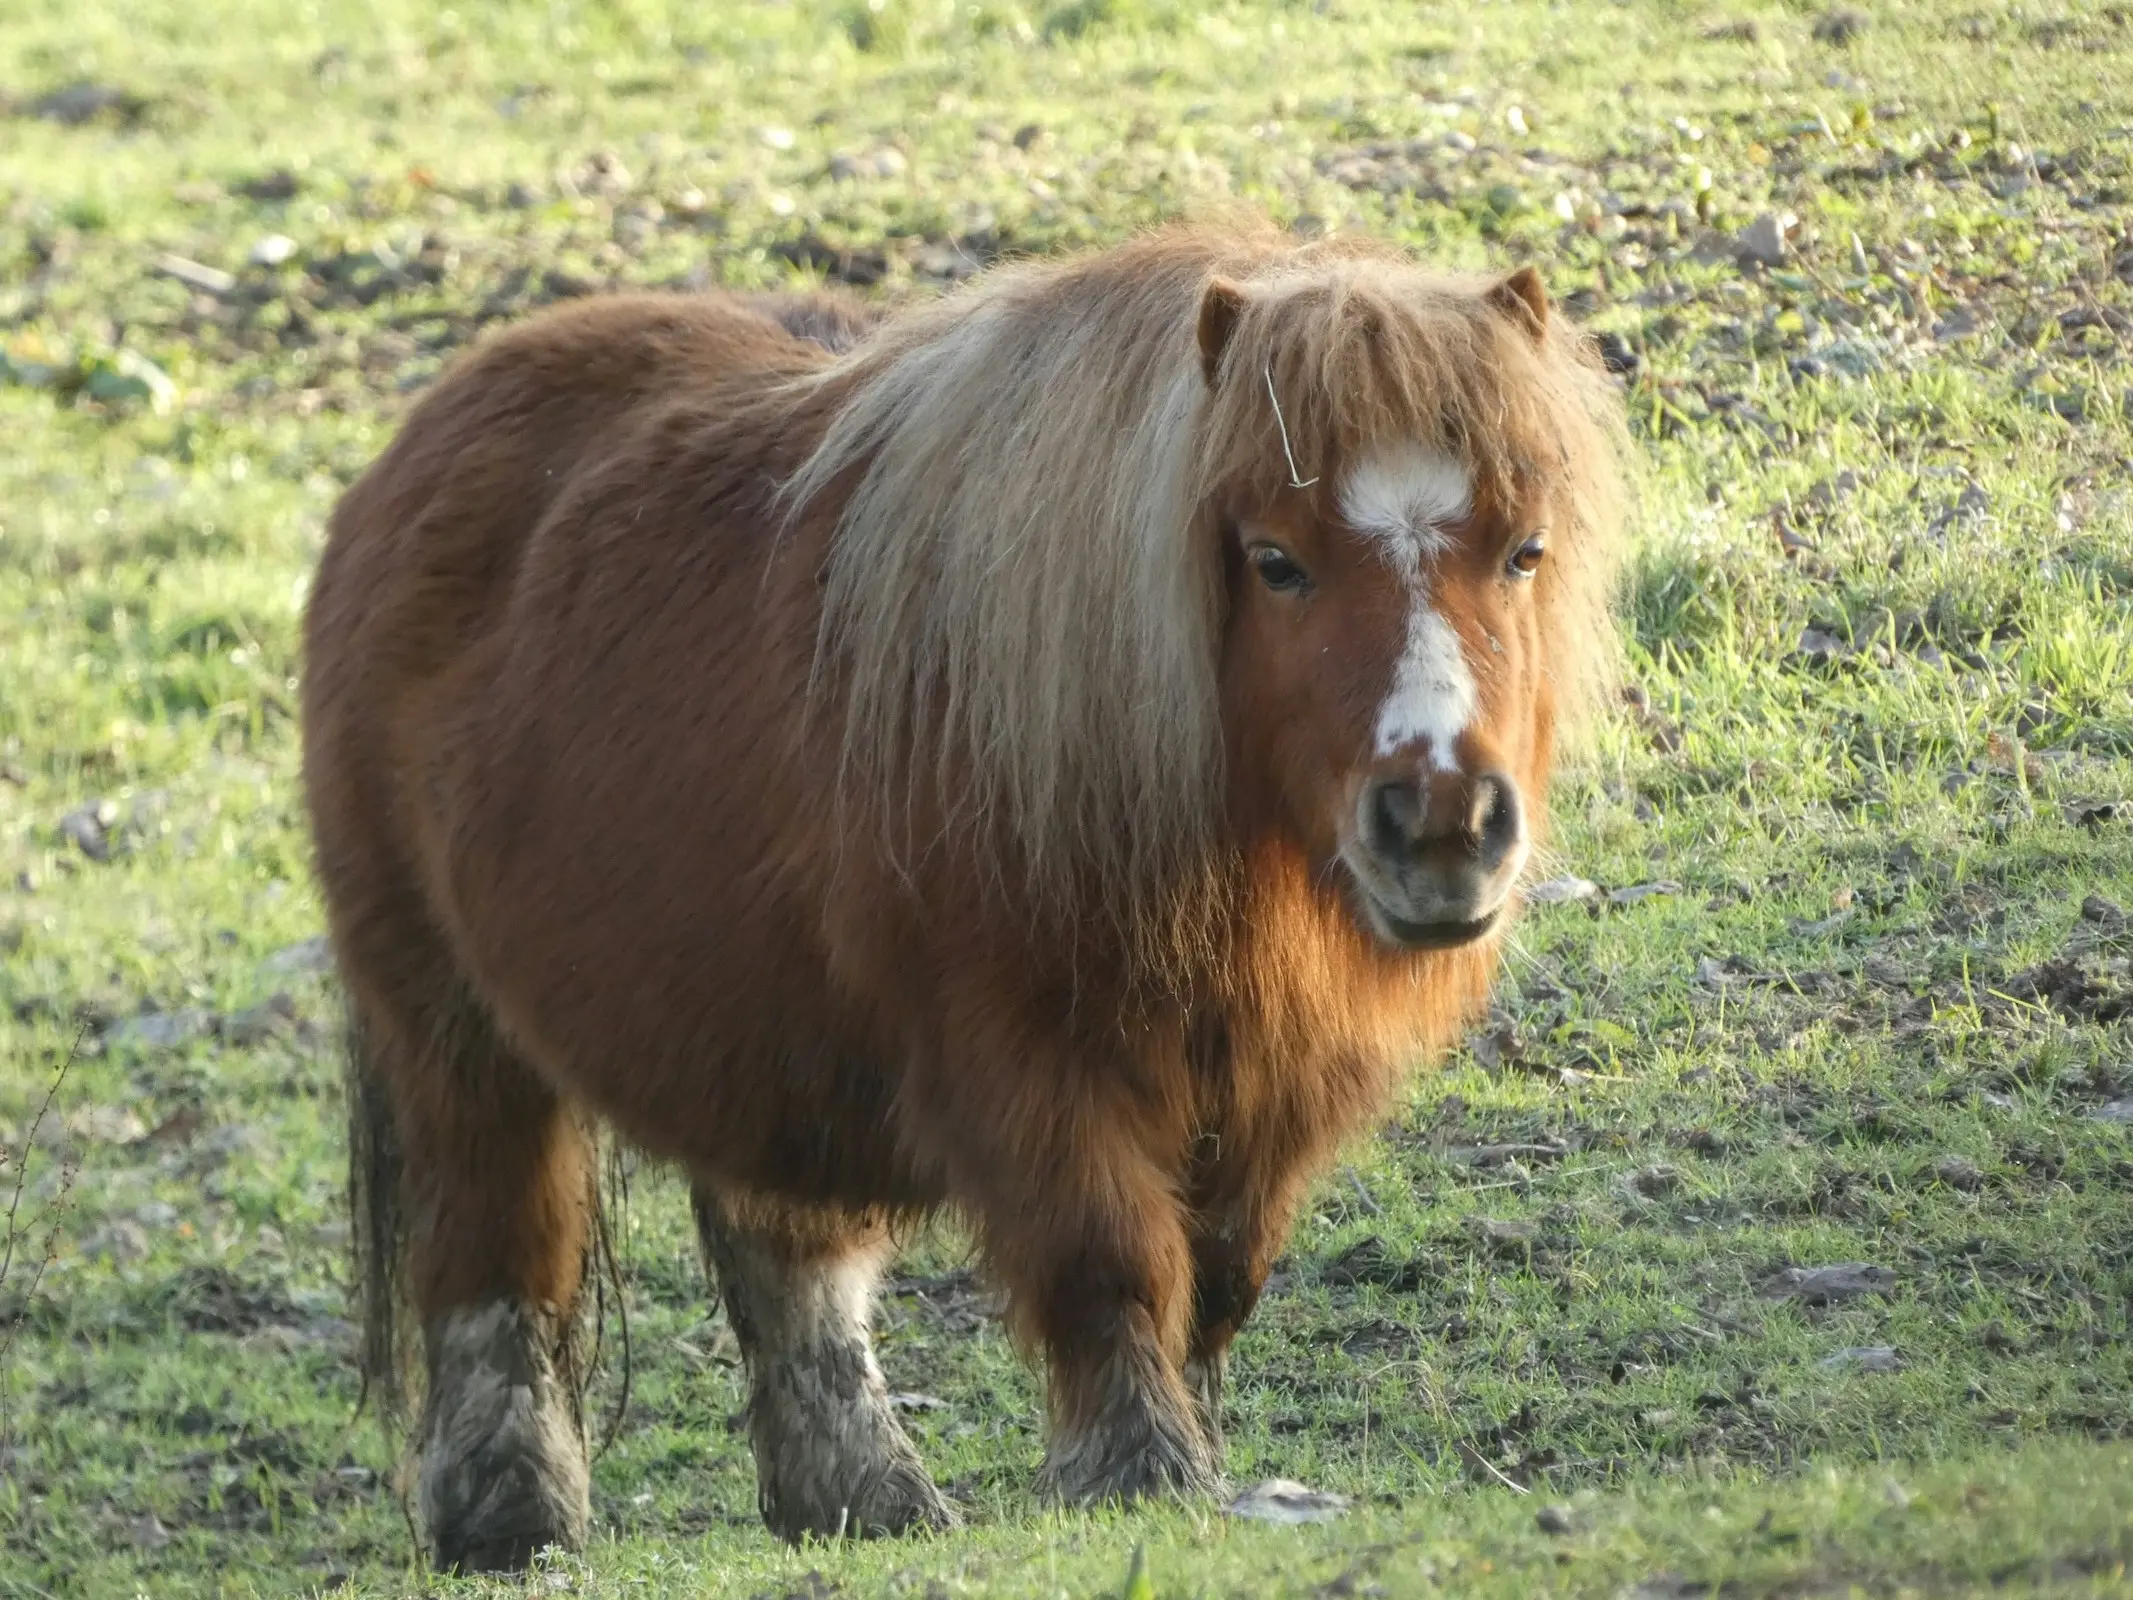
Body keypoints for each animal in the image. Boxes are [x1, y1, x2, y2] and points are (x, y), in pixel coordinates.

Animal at [300, 226, 1621, 1578]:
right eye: (1276, 562)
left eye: (1523, 550)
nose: (1443, 825)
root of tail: (424, 437)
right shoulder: (1021, 1063)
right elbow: (1108, 1260)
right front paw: (1138, 1474)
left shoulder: (1279, 1080)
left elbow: (1218, 1279)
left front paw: (1193, 1457)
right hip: (452, 1032)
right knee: (493, 1253)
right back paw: (506, 1516)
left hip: (753, 1033)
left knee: (791, 1265)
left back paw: (862, 1495)